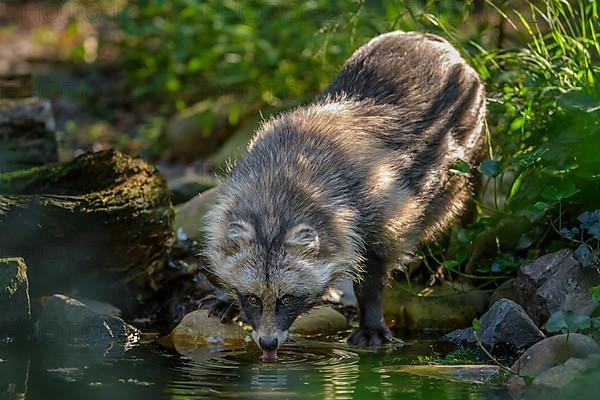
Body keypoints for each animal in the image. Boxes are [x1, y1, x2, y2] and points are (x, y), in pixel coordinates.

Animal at [204, 29, 486, 358]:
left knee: (459, 204)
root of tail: (428, 37)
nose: (268, 344)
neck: (279, 192)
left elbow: (374, 264)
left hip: (469, 136)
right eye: (253, 298)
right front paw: (226, 296)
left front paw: (371, 316)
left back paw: (445, 255)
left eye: (287, 298)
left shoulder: (380, 203)